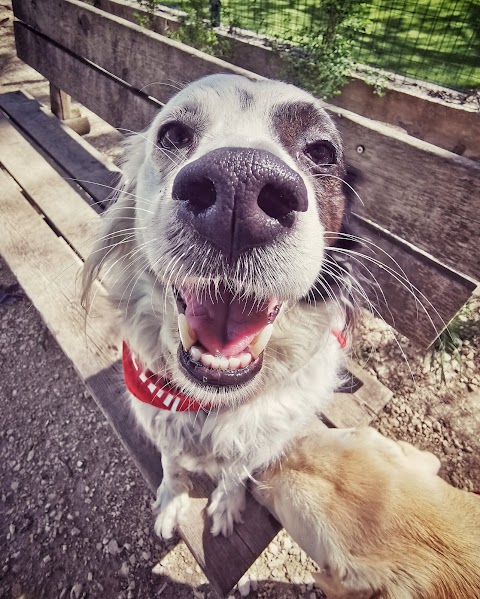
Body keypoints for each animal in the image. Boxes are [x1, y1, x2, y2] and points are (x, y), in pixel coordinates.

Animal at [81, 74, 352, 540]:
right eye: (173, 134)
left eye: (321, 151)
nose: (239, 183)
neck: (208, 403)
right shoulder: (162, 426)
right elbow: (172, 465)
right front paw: (171, 501)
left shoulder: (259, 441)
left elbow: (235, 471)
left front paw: (226, 505)